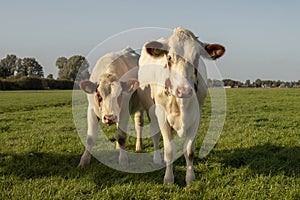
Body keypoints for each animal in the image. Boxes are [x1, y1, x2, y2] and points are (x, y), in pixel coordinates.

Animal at [137, 26, 224, 184]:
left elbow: (189, 150)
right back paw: (156, 158)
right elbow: (169, 150)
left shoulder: (196, 117)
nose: (183, 90)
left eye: (197, 57)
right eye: (169, 57)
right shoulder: (162, 116)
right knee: (155, 135)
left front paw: (190, 178)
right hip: (150, 110)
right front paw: (168, 179)